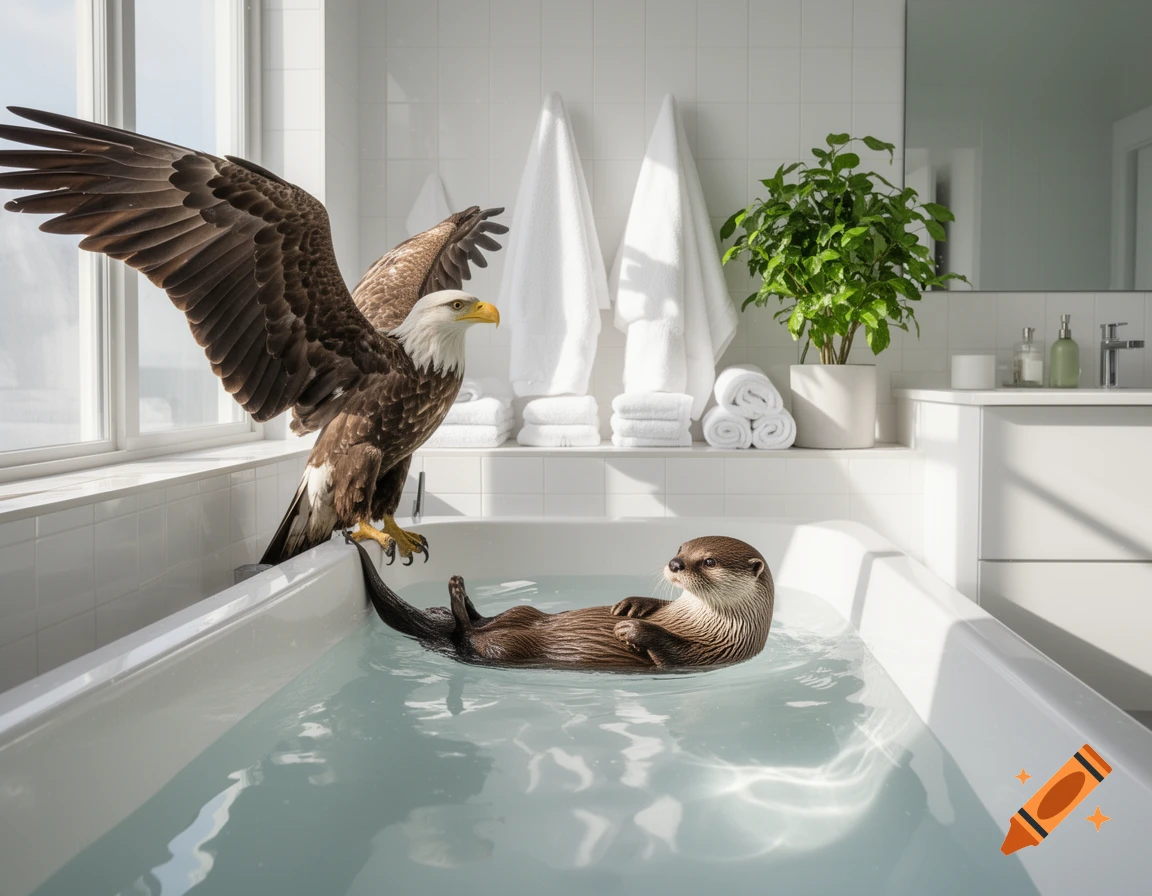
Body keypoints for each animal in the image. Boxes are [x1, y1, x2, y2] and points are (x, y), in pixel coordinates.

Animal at [346, 533, 774, 671]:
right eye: (681, 548)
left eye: (708, 561)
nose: (674, 564)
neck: (698, 619)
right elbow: (653, 604)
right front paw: (630, 606)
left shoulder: (717, 651)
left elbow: (674, 654)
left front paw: (632, 628)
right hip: (522, 612)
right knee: (485, 620)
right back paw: (462, 595)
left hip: (505, 648)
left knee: (471, 637)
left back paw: (456, 597)